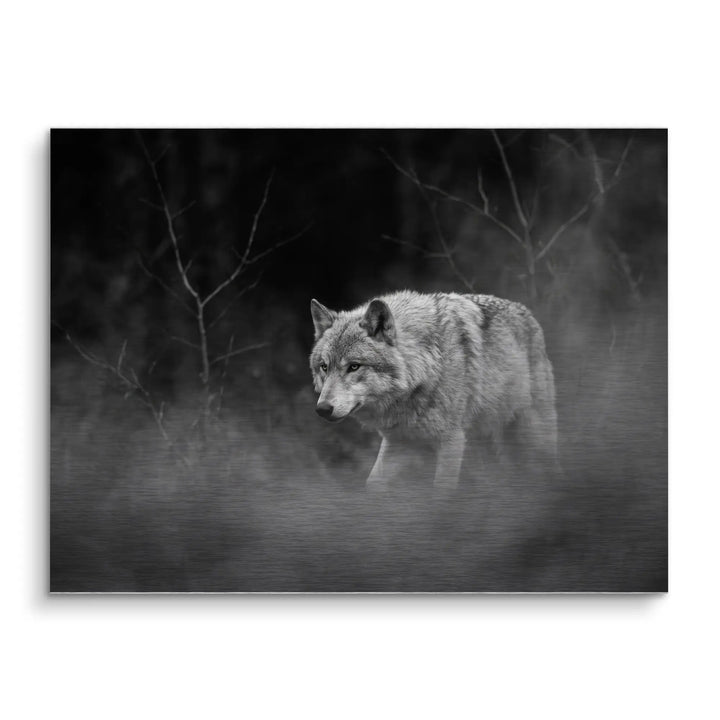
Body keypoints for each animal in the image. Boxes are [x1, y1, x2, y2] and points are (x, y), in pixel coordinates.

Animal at [309, 290, 557, 490]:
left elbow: (441, 494)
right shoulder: (397, 443)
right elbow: (372, 484)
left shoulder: (452, 442)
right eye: (324, 367)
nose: (322, 409)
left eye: (354, 366)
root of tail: (528, 312)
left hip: (535, 434)